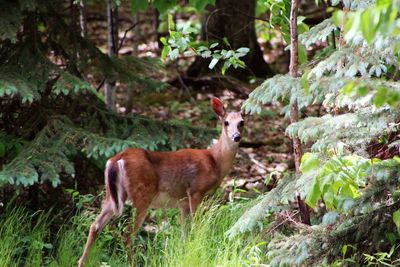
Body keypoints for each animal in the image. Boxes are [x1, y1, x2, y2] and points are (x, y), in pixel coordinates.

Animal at [78, 97, 244, 267]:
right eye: (226, 122)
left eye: (241, 122)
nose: (236, 136)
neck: (215, 161)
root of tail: (117, 159)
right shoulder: (196, 191)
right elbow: (196, 228)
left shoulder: (183, 202)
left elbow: (184, 235)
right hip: (142, 193)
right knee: (127, 235)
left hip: (111, 195)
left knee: (95, 226)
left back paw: (81, 262)